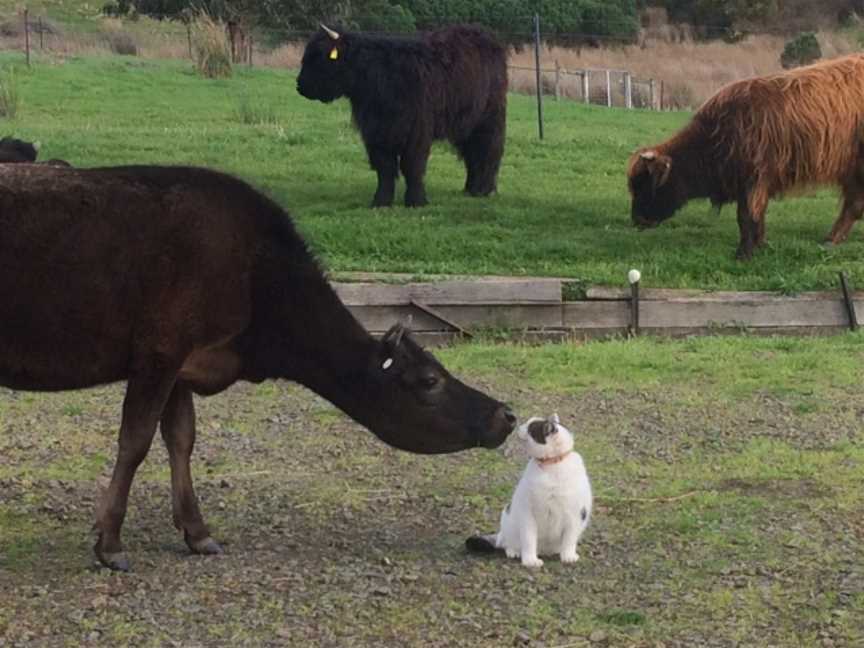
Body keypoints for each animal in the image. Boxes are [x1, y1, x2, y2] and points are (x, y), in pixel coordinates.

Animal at [296, 24, 506, 208]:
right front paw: (381, 201)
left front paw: (416, 201)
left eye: (318, 57)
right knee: (471, 152)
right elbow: (384, 167)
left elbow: (412, 165)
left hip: (488, 118)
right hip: (465, 122)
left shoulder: (416, 132)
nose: (300, 86)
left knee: (487, 149)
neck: (381, 79)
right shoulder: (375, 132)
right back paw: (470, 188)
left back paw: (483, 190)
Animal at [466, 416, 592, 568]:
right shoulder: (528, 513)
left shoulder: (575, 515)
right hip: (508, 523)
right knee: (506, 543)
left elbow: (569, 540)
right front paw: (530, 561)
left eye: (530, 427)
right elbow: (529, 540)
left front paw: (568, 556)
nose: (519, 425)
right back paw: (514, 551)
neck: (551, 465)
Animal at [632, 54, 864, 260]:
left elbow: (746, 217)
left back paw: (831, 239)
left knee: (853, 205)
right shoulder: (757, 184)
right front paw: (760, 244)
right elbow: (758, 216)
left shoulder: (752, 180)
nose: (637, 220)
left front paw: (744, 253)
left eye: (645, 185)